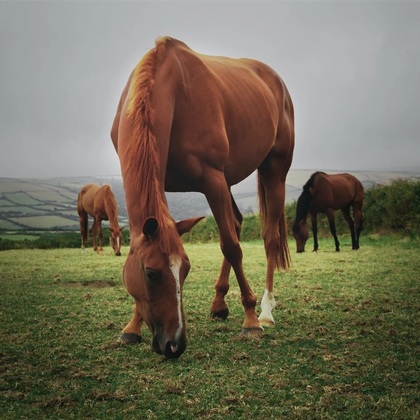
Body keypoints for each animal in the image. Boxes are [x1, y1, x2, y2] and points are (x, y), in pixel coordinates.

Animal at [111, 36, 296, 358]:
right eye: (151, 273)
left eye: (186, 270)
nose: (174, 344)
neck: (172, 89)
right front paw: (132, 327)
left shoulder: (212, 179)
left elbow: (232, 247)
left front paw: (250, 321)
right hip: (230, 178)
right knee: (236, 221)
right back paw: (219, 303)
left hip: (273, 169)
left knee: (268, 238)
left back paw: (265, 311)